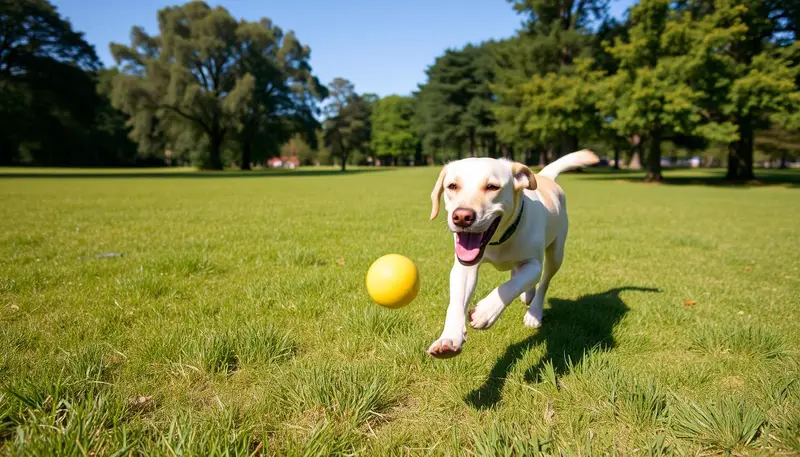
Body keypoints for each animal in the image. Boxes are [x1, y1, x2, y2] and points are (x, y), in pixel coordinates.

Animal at [428, 150, 596, 356]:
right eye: (452, 186)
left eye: (492, 187)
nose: (461, 217)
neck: (499, 239)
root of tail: (546, 177)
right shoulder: (464, 266)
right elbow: (456, 302)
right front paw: (450, 338)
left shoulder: (533, 264)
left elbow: (510, 286)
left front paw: (486, 311)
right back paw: (527, 295)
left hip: (556, 253)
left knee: (543, 281)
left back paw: (534, 312)